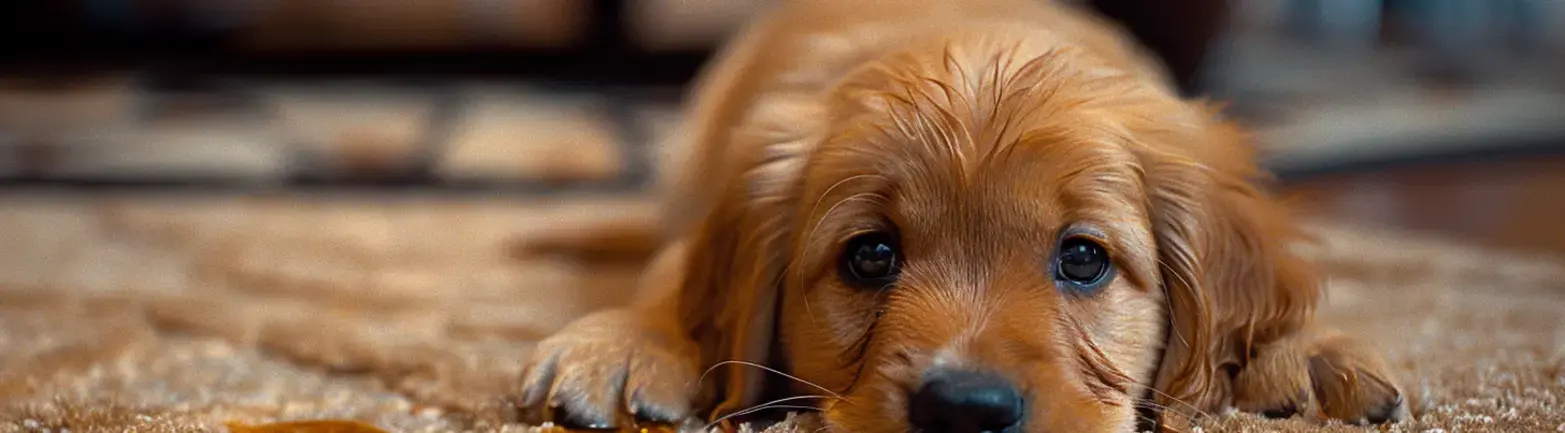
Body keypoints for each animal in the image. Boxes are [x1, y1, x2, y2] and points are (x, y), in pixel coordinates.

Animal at [519, 1, 1414, 428]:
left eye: (1082, 257)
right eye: (869, 255)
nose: (963, 409)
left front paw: (1302, 353)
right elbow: (669, 281)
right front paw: (626, 345)